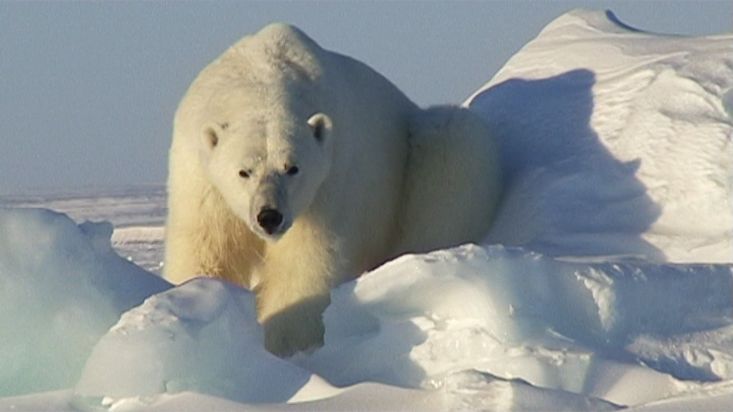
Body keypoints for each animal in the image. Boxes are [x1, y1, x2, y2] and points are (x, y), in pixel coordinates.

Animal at [164, 23, 498, 358]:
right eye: (244, 171)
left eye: (292, 168)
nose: (269, 217)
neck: (264, 77)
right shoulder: (198, 177)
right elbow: (205, 248)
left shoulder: (329, 179)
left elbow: (307, 260)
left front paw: (288, 346)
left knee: (452, 143)